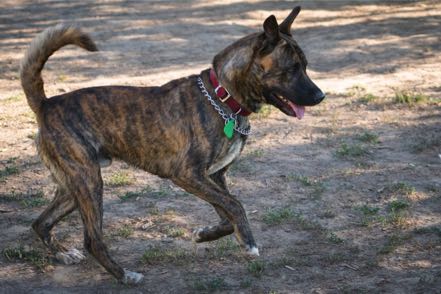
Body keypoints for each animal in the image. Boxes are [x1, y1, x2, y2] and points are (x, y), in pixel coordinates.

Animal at [20, 5, 324, 284]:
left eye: (306, 66)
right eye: (292, 68)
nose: (321, 96)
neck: (222, 98)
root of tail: (47, 104)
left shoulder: (214, 177)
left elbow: (226, 213)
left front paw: (206, 235)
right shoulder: (187, 175)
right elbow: (235, 204)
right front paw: (248, 242)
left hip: (75, 186)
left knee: (41, 222)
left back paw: (63, 253)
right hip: (89, 181)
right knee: (92, 240)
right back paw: (124, 275)